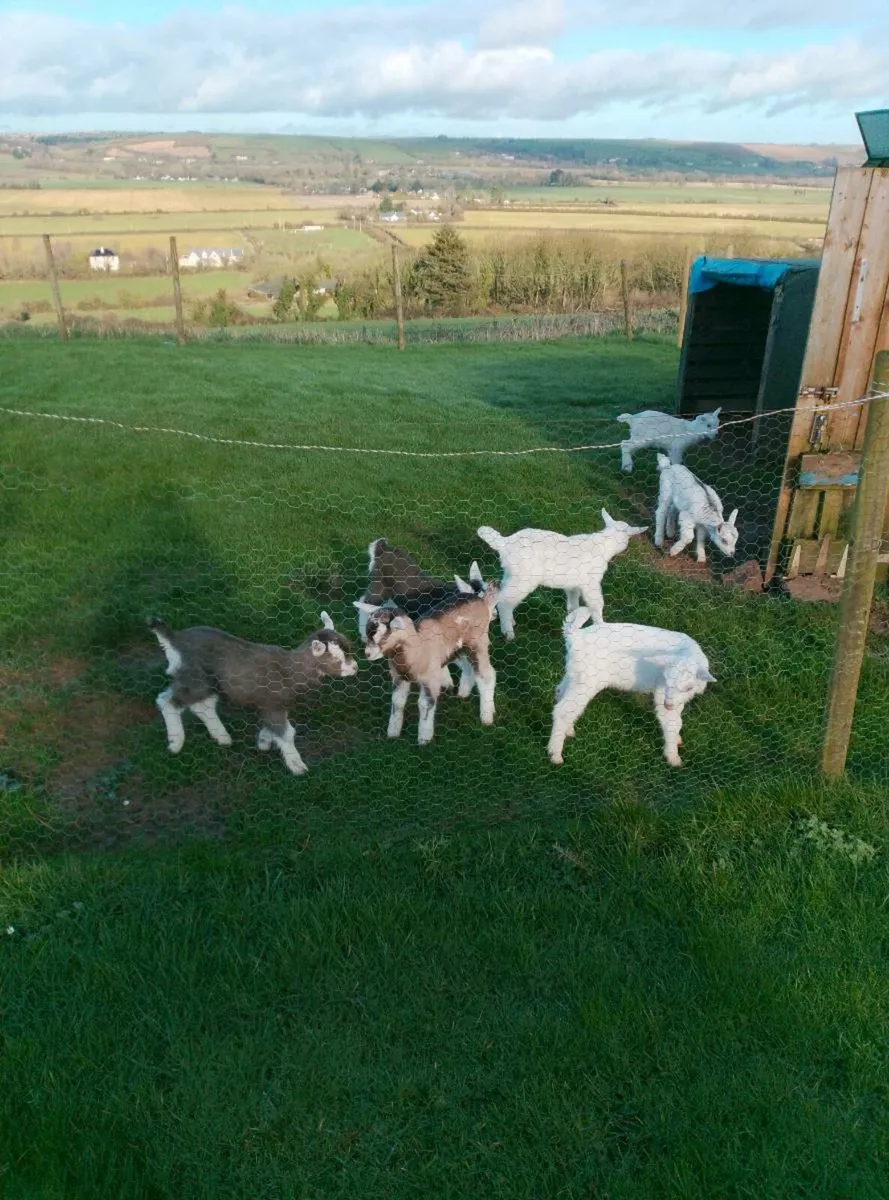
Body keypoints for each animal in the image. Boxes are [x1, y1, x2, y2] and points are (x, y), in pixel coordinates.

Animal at [148, 611, 358, 776]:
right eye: (336, 658)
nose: (355, 667)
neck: (289, 671)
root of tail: (175, 640)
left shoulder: (272, 707)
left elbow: (272, 727)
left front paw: (264, 742)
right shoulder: (273, 706)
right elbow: (287, 732)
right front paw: (297, 766)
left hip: (206, 682)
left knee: (202, 705)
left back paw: (222, 737)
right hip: (194, 678)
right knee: (167, 701)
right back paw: (175, 743)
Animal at [353, 577, 498, 745]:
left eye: (384, 637)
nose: (367, 654)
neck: (417, 647)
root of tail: (481, 600)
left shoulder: (431, 679)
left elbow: (425, 704)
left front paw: (424, 739)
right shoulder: (399, 677)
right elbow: (397, 701)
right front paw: (393, 733)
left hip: (478, 643)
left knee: (486, 675)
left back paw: (487, 715)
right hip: (461, 648)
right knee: (469, 668)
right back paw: (463, 693)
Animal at [357, 537, 481, 697]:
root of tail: (384, 548)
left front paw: (463, 690)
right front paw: (448, 683)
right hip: (379, 586)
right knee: (364, 600)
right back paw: (363, 633)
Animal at [477, 509, 647, 641]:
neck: (602, 545)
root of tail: (504, 543)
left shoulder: (573, 585)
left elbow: (573, 605)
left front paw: (573, 621)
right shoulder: (591, 583)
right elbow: (597, 603)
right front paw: (601, 625)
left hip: (512, 574)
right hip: (524, 578)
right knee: (505, 602)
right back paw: (508, 633)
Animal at [547, 609, 716, 768]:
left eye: (688, 687)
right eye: (667, 680)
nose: (668, 705)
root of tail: (576, 636)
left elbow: (677, 720)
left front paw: (677, 739)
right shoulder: (662, 691)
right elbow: (671, 722)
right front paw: (673, 757)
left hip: (575, 675)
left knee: (560, 692)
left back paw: (568, 730)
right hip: (586, 681)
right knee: (562, 710)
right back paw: (555, 754)